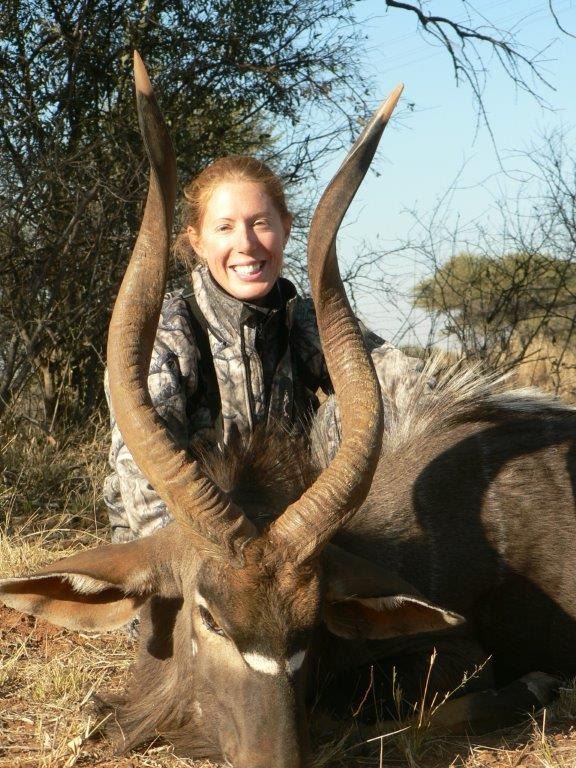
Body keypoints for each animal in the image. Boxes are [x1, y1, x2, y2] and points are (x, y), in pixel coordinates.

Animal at [2, 53, 576, 767]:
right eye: (209, 616)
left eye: (310, 624)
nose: (275, 755)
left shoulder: (456, 654)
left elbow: (413, 721)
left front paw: (542, 687)